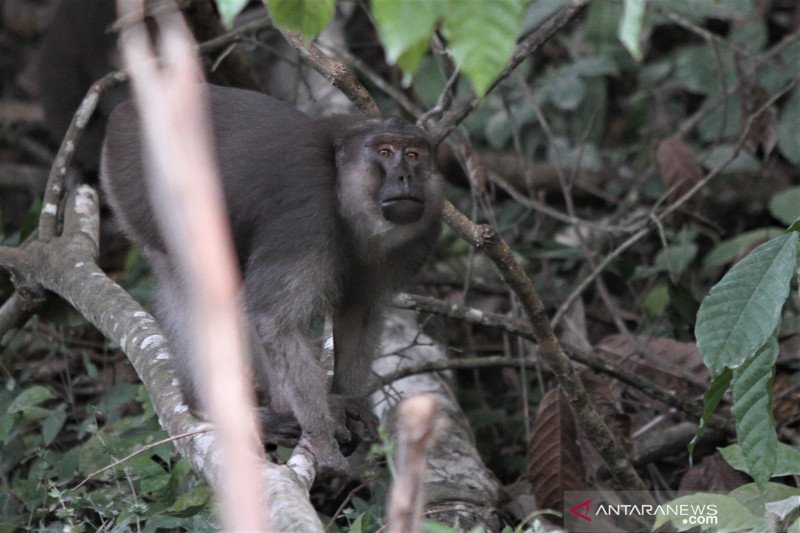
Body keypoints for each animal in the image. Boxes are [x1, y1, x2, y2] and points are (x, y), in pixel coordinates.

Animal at [99, 84, 444, 478]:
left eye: (414, 154)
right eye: (385, 152)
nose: (405, 177)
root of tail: (127, 111)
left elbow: (358, 313)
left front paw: (345, 401)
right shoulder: (307, 218)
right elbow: (274, 321)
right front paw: (323, 443)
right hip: (142, 178)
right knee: (206, 287)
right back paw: (207, 406)